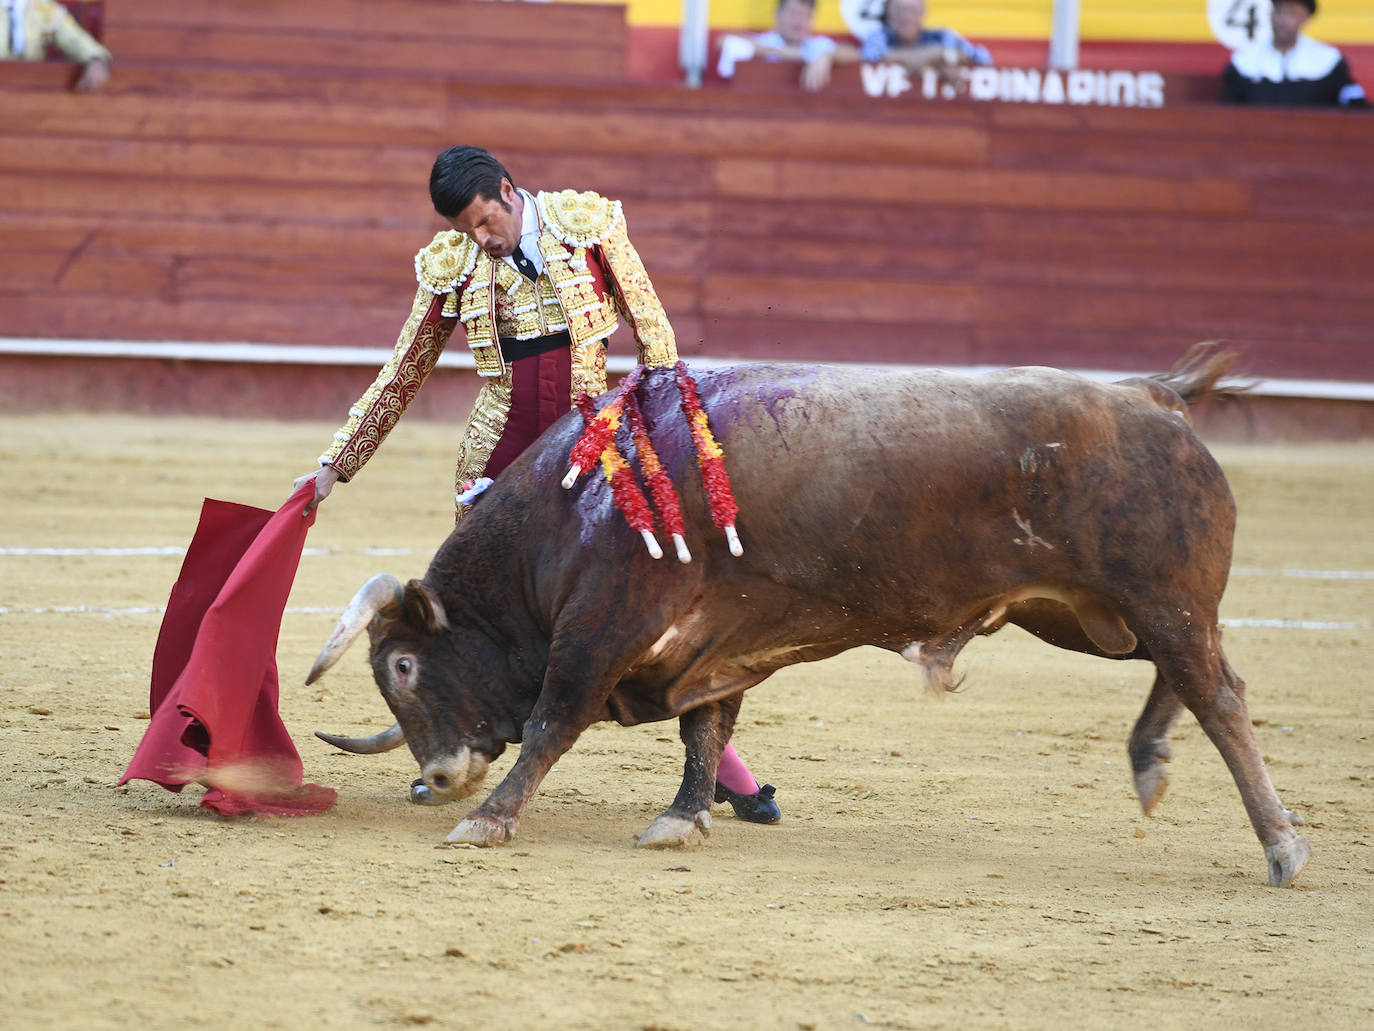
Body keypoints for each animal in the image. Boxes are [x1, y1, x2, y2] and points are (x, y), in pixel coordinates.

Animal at [309, 354, 1308, 890]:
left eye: (402, 667)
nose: (439, 777)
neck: (572, 507)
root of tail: (1150, 394)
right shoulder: (711, 642)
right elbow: (705, 733)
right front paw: (683, 819)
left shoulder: (602, 628)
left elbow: (556, 721)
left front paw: (488, 823)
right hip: (1089, 614)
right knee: (1196, 678)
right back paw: (1152, 764)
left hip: (1159, 599)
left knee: (1218, 692)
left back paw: (1282, 844)